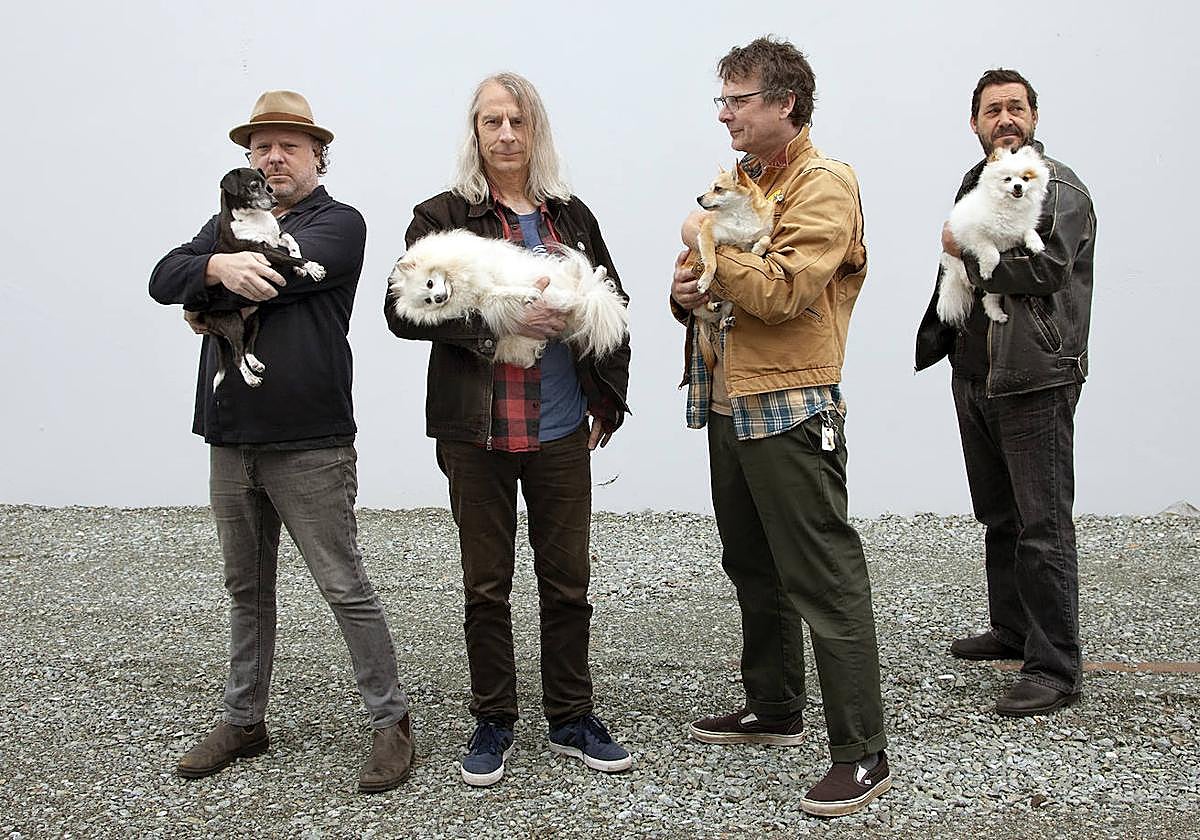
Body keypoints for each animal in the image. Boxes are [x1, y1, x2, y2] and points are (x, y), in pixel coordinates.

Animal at [185, 167, 326, 389]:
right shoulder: (263, 252)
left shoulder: (278, 237)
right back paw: (250, 378)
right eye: (253, 186)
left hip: (253, 318)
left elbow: (292, 242)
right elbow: (291, 258)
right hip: (232, 321)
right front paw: (311, 268)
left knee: (246, 347)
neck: (255, 218)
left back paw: (254, 363)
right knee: (236, 356)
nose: (275, 202)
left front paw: (300, 267)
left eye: (267, 185)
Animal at [388, 229, 628, 369]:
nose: (439, 298)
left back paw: (594, 273)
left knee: (574, 278)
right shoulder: (489, 298)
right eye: (428, 301)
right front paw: (532, 295)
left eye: (430, 283)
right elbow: (510, 293)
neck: (461, 284)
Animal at [938, 145, 1050, 326]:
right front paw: (986, 271)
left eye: (1025, 178)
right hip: (955, 257)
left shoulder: (1019, 228)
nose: (1018, 186)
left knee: (989, 298)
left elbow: (1029, 230)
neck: (1009, 208)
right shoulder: (976, 235)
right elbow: (992, 253)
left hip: (998, 287)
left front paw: (1036, 244)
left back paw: (997, 315)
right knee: (961, 270)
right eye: (1008, 179)